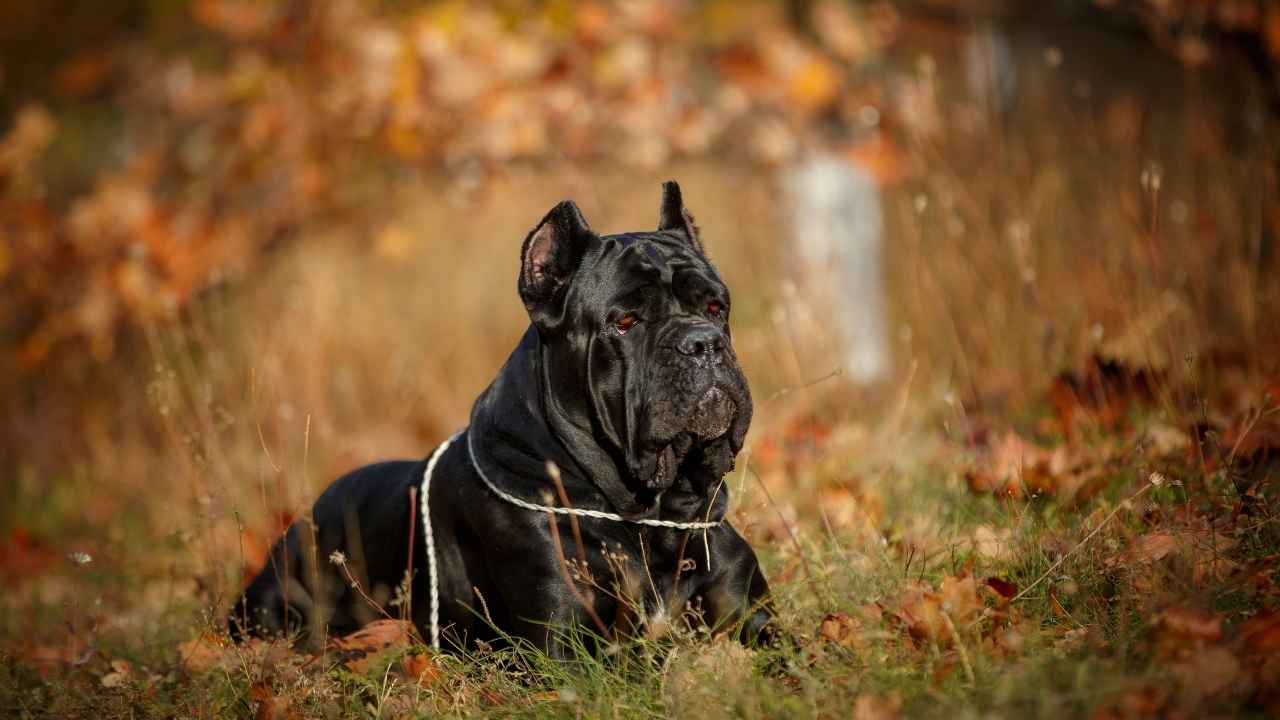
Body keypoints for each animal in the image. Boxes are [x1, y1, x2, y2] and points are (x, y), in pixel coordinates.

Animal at [230, 180, 768, 655]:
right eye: (625, 321)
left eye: (715, 306)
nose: (702, 343)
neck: (651, 512)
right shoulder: (564, 642)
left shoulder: (750, 614)